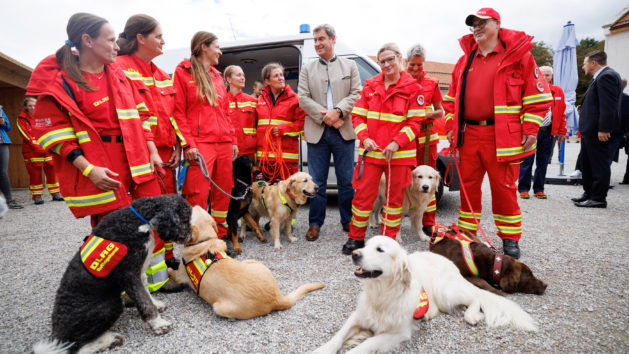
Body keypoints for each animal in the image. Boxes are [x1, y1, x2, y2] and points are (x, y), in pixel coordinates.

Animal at [33, 195, 191, 352]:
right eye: (184, 220)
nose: (190, 236)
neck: (139, 220)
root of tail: (57, 334)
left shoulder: (139, 270)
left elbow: (146, 292)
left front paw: (156, 304)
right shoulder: (128, 274)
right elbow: (144, 301)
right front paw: (158, 324)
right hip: (110, 306)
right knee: (75, 347)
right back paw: (109, 340)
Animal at [168, 206, 324, 320]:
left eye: (191, 213)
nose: (192, 204)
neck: (205, 240)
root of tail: (277, 298)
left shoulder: (180, 275)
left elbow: (172, 271)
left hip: (218, 307)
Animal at [314, 235, 536, 354]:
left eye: (380, 250)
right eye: (365, 246)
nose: (354, 254)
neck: (382, 292)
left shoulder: (397, 333)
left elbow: (366, 344)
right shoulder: (358, 317)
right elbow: (338, 336)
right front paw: (321, 349)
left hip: (447, 293)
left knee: (475, 297)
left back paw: (471, 315)